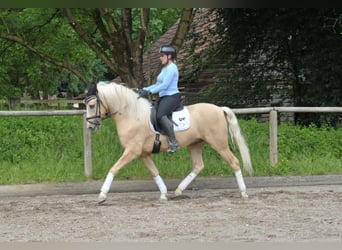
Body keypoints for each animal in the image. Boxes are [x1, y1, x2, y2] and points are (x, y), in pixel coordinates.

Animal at [84, 81, 252, 204]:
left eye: (91, 105)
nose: (90, 127)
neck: (131, 115)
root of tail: (219, 109)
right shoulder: (143, 153)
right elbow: (154, 172)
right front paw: (164, 194)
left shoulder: (132, 150)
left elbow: (113, 169)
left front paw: (102, 195)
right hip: (195, 144)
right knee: (198, 166)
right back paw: (178, 191)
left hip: (219, 144)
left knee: (234, 162)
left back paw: (244, 193)